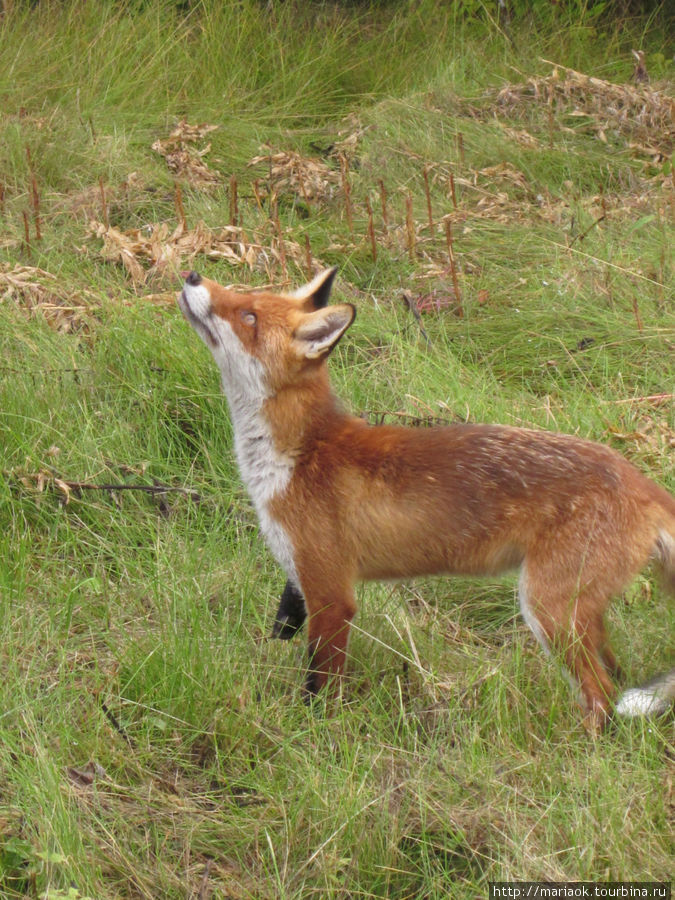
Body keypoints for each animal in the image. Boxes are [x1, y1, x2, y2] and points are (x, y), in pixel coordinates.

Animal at [180, 268, 675, 732]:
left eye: (248, 316)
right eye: (244, 296)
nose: (192, 276)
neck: (300, 454)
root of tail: (642, 483)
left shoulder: (331, 593)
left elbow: (320, 687)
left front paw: (313, 734)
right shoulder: (301, 580)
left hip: (548, 611)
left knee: (603, 696)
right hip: (579, 614)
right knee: (616, 673)